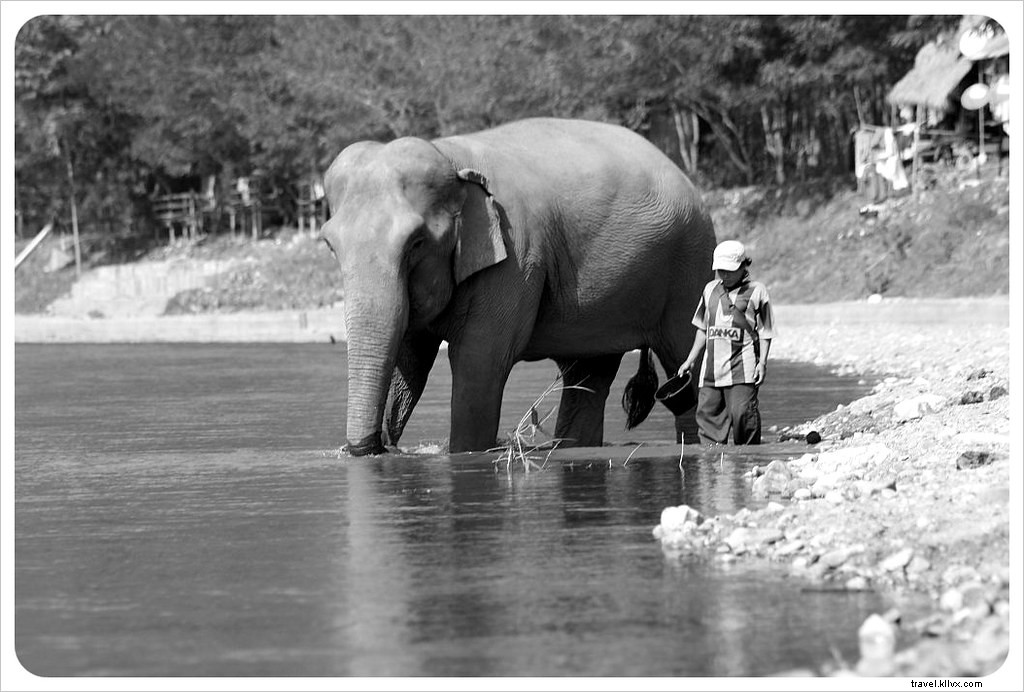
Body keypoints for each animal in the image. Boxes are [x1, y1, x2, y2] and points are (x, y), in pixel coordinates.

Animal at [319, 117, 716, 456]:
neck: (450, 157)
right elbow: (410, 361)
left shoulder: (515, 259)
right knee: (588, 376)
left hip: (691, 266)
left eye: (416, 243)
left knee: (685, 362)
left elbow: (480, 362)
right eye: (330, 245)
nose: (374, 446)